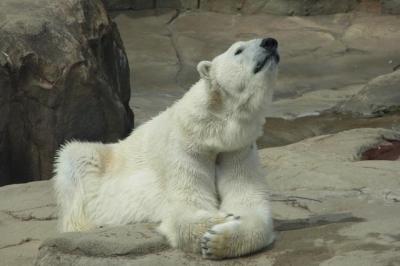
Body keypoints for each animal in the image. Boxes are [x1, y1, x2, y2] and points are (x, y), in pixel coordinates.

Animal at [53, 38, 280, 260]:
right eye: (238, 50)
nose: (270, 42)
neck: (215, 133)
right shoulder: (184, 148)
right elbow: (185, 206)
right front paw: (221, 219)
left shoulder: (238, 150)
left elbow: (248, 201)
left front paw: (218, 240)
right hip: (95, 162)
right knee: (74, 162)